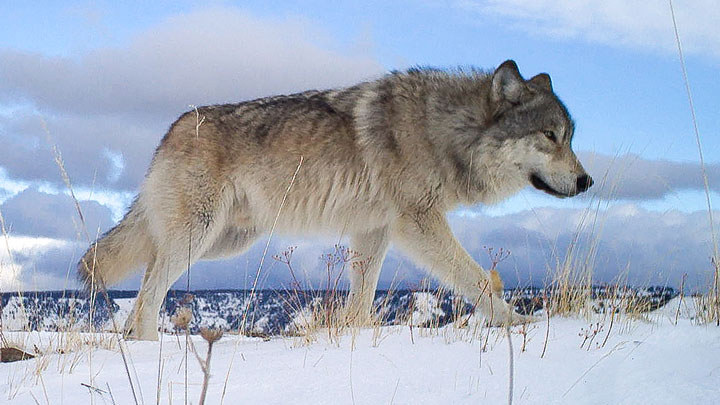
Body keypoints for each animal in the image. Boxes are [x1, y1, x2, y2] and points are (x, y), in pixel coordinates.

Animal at [79, 60, 592, 340]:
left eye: (570, 137)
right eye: (550, 136)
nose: (587, 181)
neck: (445, 129)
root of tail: (171, 128)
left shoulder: (375, 231)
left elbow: (361, 301)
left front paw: (355, 340)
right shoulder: (418, 223)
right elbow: (480, 280)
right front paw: (518, 324)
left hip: (219, 241)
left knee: (142, 280)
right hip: (198, 237)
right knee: (148, 295)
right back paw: (148, 351)